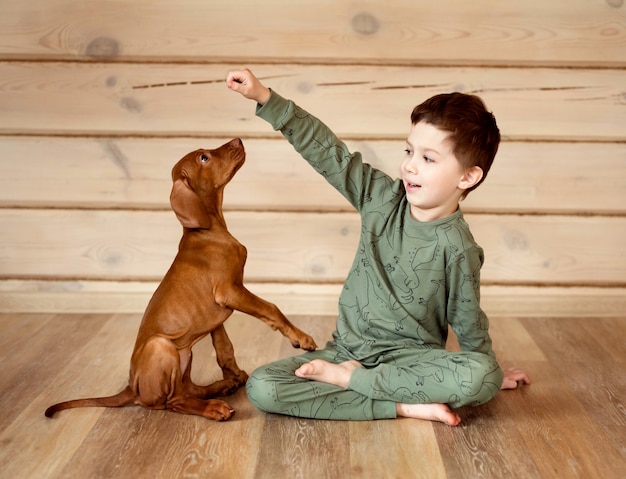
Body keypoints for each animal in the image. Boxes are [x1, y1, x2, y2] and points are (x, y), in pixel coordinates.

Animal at [45, 138, 314, 420]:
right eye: (204, 158)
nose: (238, 140)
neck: (207, 230)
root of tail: (131, 387)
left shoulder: (218, 311)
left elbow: (224, 348)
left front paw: (234, 373)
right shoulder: (230, 291)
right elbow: (271, 308)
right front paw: (301, 338)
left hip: (185, 354)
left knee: (188, 389)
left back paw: (222, 386)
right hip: (161, 346)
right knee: (175, 401)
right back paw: (213, 407)